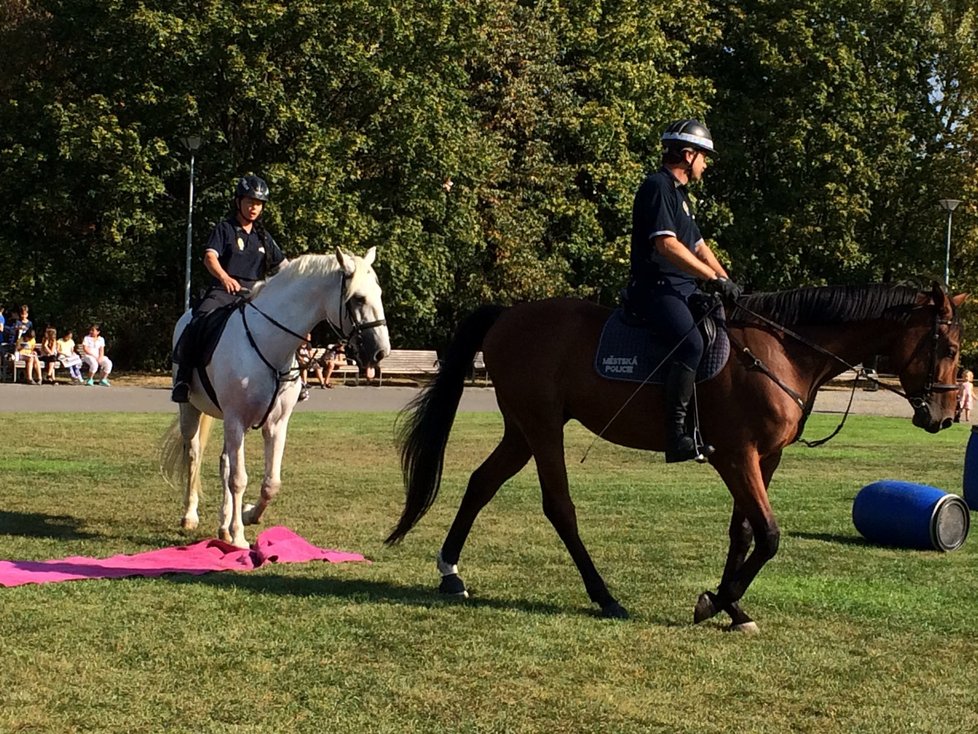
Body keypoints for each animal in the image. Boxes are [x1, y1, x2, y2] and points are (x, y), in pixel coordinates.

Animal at [160, 250, 388, 548]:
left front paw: (247, 516)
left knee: (224, 462)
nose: (381, 352)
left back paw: (223, 526)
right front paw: (239, 537)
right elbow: (239, 479)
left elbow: (270, 483)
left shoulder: (276, 424)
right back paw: (190, 515)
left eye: (379, 293)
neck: (267, 342)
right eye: (358, 298)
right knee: (194, 454)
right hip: (191, 411)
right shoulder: (236, 420)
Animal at [386, 284, 964, 632]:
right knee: (559, 507)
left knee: (482, 483)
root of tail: (509, 314)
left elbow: (744, 532)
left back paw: (451, 573)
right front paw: (716, 601)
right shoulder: (737, 456)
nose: (945, 414)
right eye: (951, 348)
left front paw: (732, 606)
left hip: (523, 431)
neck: (782, 352)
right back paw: (604, 596)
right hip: (543, 427)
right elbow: (769, 535)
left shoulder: (764, 459)